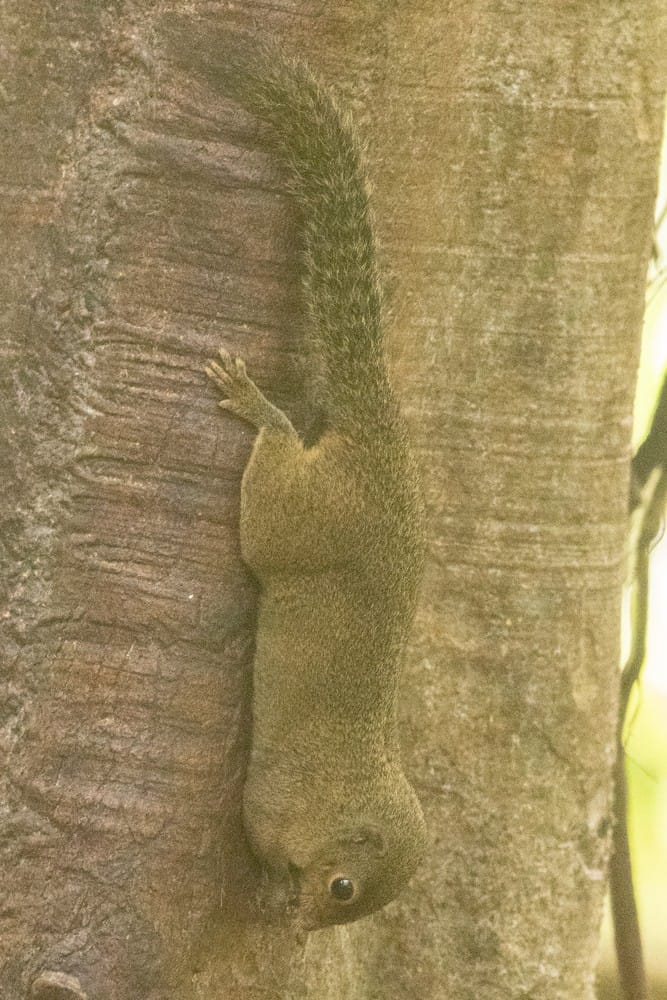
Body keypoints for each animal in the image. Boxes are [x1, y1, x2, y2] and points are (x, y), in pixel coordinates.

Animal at [191, 39, 427, 930]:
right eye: (344, 888)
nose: (302, 926)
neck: (341, 787)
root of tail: (379, 448)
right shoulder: (272, 801)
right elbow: (256, 832)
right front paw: (267, 886)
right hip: (297, 517)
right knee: (277, 468)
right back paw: (260, 408)